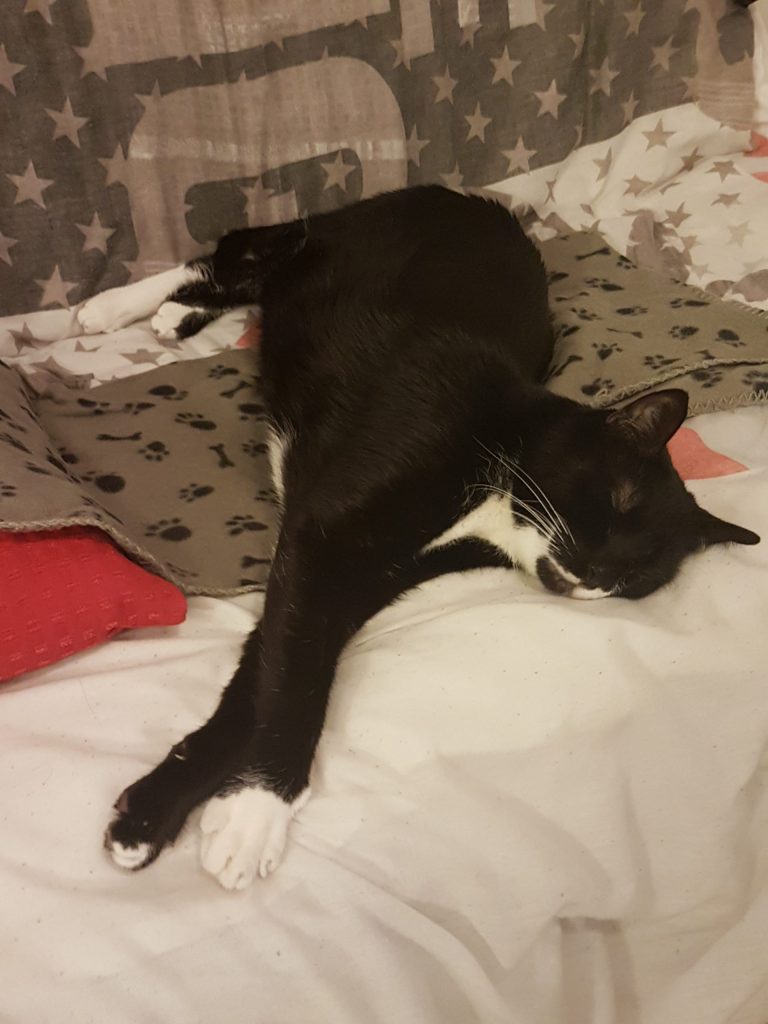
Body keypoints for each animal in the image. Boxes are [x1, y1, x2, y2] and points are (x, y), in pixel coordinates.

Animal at [76, 185, 760, 890]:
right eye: (619, 499)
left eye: (644, 573)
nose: (600, 574)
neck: (499, 474)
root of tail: (468, 197)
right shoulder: (319, 541)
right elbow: (295, 679)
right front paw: (255, 814)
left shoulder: (361, 575)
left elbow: (267, 671)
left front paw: (155, 812)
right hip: (325, 242)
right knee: (246, 247)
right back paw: (115, 305)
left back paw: (177, 314)